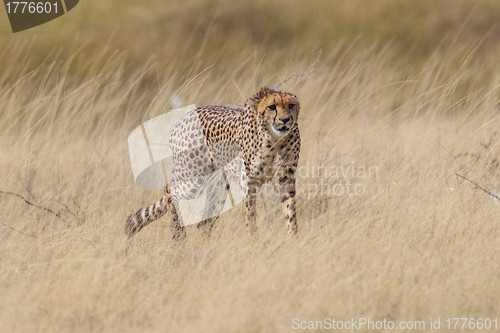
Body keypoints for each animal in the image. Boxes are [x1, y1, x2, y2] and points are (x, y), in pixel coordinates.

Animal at [126, 86, 300, 239]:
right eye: (272, 107)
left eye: (291, 106)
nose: (285, 120)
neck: (275, 140)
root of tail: (182, 120)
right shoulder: (248, 180)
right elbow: (251, 213)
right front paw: (253, 238)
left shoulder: (286, 177)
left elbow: (290, 211)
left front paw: (293, 238)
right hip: (193, 178)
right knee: (169, 190)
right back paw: (178, 234)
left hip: (219, 186)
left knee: (203, 223)